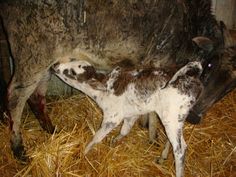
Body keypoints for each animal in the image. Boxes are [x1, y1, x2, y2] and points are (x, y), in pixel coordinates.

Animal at [0, 0, 234, 162]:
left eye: (230, 88)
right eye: (210, 65)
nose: (194, 117)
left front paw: (143, 124)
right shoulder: (159, 61)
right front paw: (153, 136)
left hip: (48, 58)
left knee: (36, 96)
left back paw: (50, 128)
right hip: (33, 54)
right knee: (15, 96)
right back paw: (18, 148)